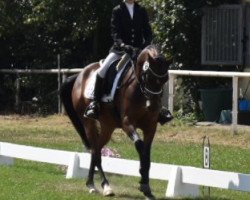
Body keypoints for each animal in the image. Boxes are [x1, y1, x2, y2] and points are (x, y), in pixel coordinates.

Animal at [61, 44, 172, 199]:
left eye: (165, 79)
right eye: (147, 76)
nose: (153, 106)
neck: (139, 90)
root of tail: (80, 75)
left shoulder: (150, 126)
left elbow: (146, 153)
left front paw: (146, 187)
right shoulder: (127, 123)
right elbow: (140, 147)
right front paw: (143, 184)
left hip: (108, 126)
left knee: (96, 149)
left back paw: (91, 184)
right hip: (88, 123)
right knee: (96, 152)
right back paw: (105, 186)